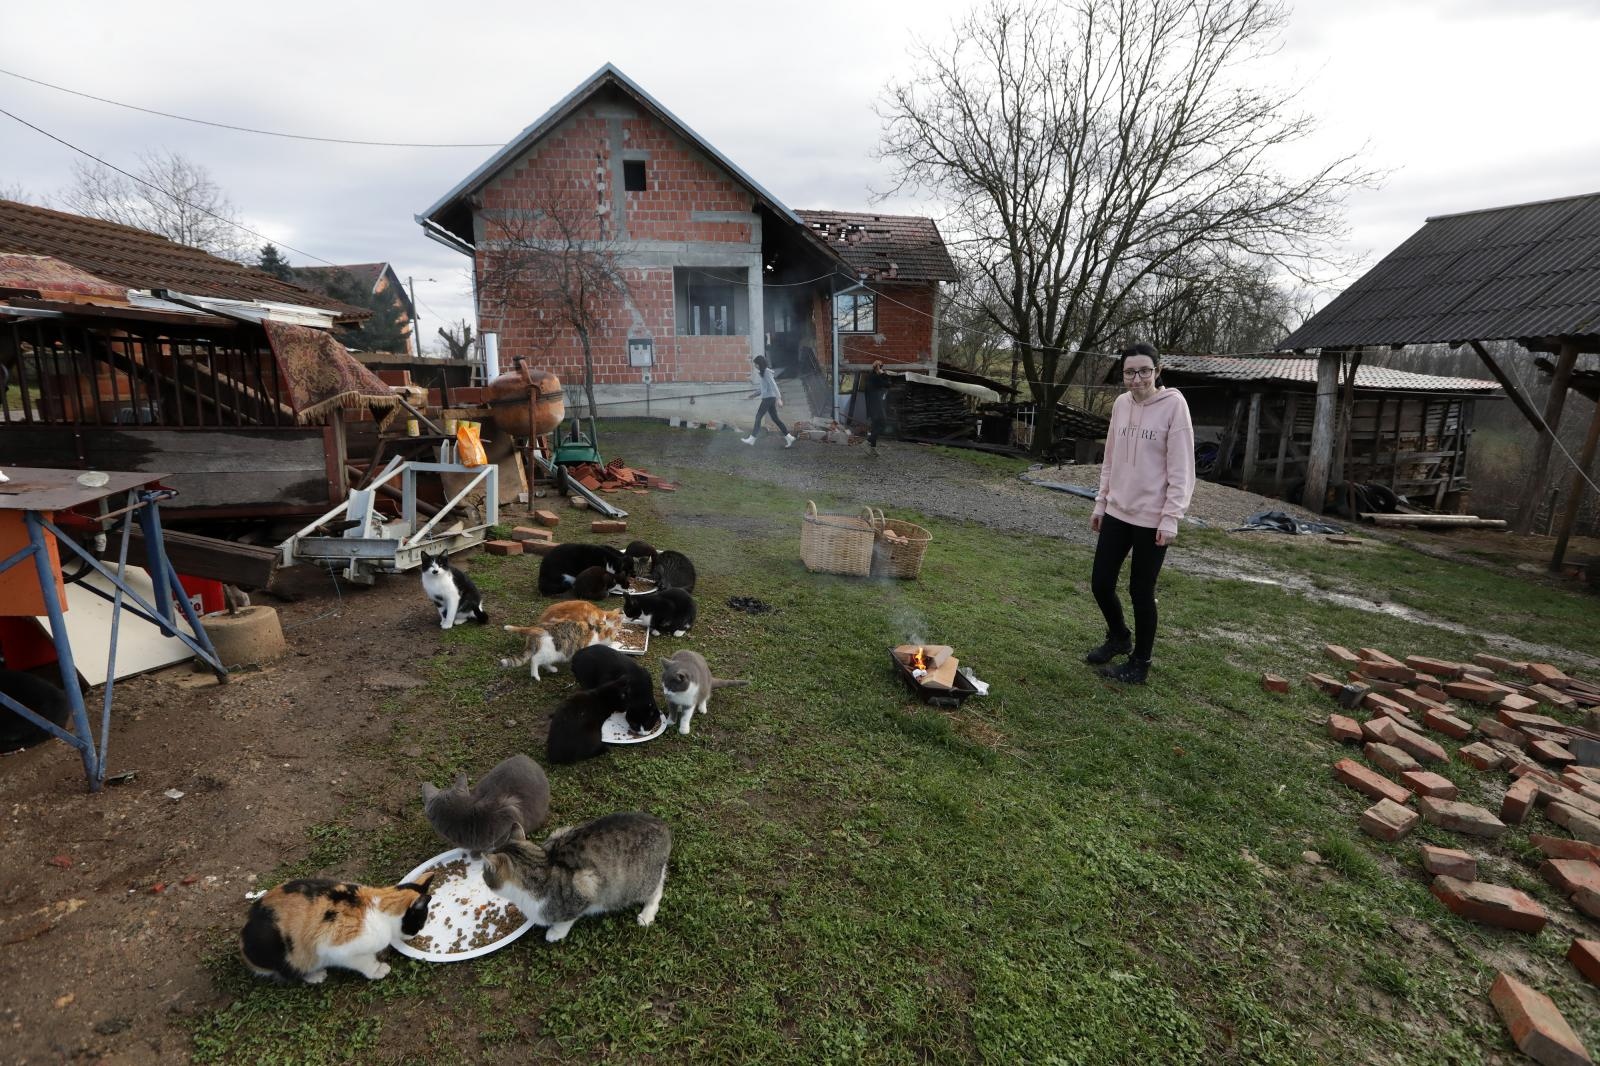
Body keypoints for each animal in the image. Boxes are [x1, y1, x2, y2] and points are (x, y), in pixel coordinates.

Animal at [236, 870, 438, 979]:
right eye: (420, 921)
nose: (416, 934)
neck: (378, 905)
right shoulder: (337, 949)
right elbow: (364, 961)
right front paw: (378, 970)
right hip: (287, 954)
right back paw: (316, 975)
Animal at [480, 813, 668, 941]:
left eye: (484, 872)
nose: (482, 876)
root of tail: (662, 826)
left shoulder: (586, 886)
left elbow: (568, 919)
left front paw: (555, 932)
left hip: (637, 883)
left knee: (658, 887)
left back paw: (647, 914)